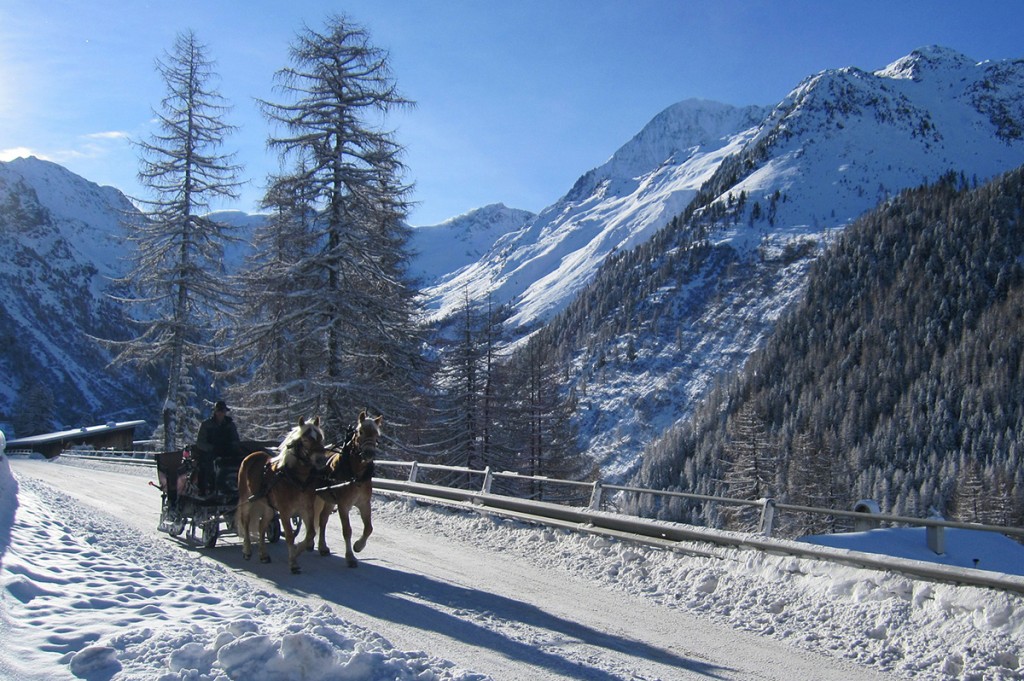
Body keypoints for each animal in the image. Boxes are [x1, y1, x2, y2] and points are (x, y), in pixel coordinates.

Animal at [235, 417, 327, 569]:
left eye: (320, 438)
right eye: (305, 439)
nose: (321, 460)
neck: (295, 478)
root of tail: (252, 455)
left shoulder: (306, 509)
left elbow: (311, 534)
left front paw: (296, 552)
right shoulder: (285, 512)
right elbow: (289, 535)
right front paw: (293, 563)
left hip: (268, 508)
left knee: (261, 527)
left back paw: (264, 555)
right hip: (247, 499)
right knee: (245, 523)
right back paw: (247, 551)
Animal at [311, 411, 380, 565]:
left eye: (377, 434)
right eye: (360, 431)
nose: (369, 453)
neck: (356, 475)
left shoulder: (364, 503)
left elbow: (369, 528)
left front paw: (358, 546)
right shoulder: (344, 505)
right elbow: (347, 530)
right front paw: (350, 557)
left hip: (328, 500)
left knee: (323, 520)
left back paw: (322, 547)